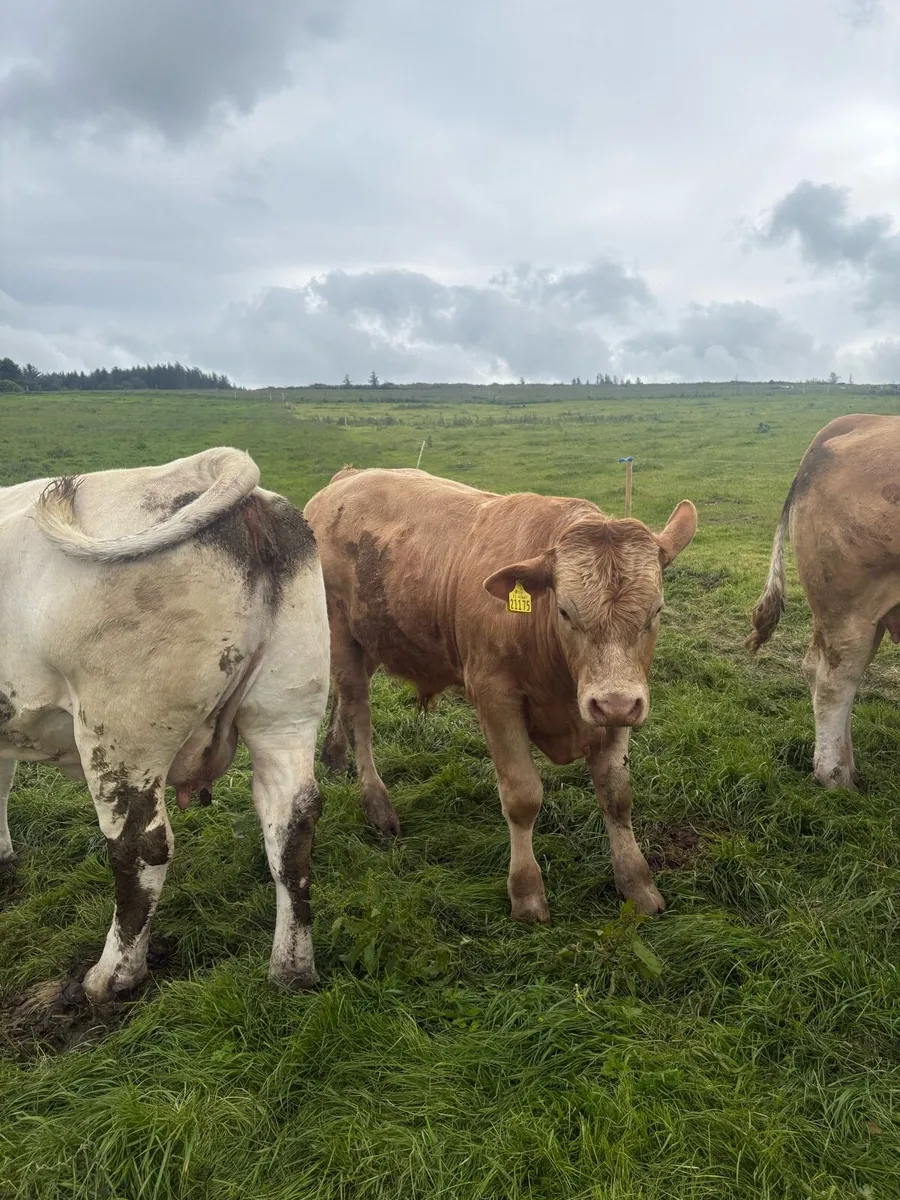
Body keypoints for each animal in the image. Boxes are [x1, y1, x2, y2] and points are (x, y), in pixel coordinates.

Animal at [0, 448, 329, 1004]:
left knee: (141, 847)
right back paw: (292, 970)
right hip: (287, 712)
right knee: (292, 827)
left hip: (121, 733)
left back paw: (112, 977)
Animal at [304, 467, 697, 921]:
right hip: (338, 629)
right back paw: (377, 804)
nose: (614, 702)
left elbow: (617, 794)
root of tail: (345, 479)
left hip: (369, 637)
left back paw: (334, 755)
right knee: (360, 715)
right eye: (565, 611)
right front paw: (526, 893)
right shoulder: (495, 696)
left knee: (343, 699)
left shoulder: (616, 704)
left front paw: (637, 883)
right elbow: (522, 796)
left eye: (656, 611)